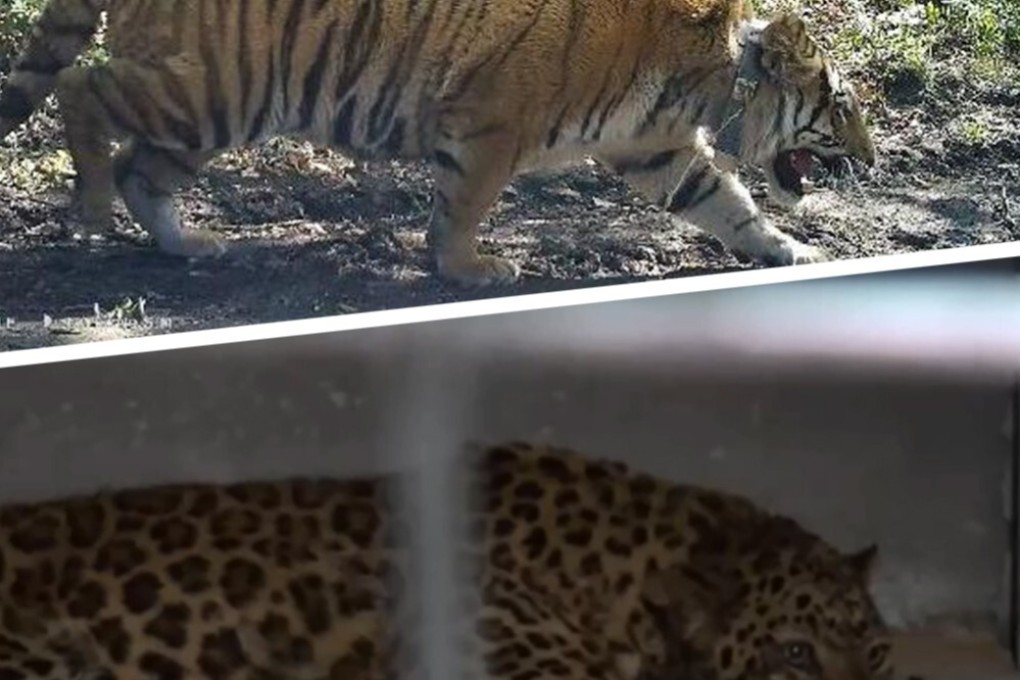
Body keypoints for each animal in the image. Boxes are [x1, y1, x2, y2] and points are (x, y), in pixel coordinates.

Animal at [0, 0, 876, 287]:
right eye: (841, 107)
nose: (873, 159)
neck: (714, 80)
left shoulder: (656, 149)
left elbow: (727, 204)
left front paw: (789, 251)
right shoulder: (494, 126)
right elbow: (464, 207)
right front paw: (468, 270)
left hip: (209, 113)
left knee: (142, 166)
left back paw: (187, 243)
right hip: (209, 92)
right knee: (84, 93)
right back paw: (90, 210)